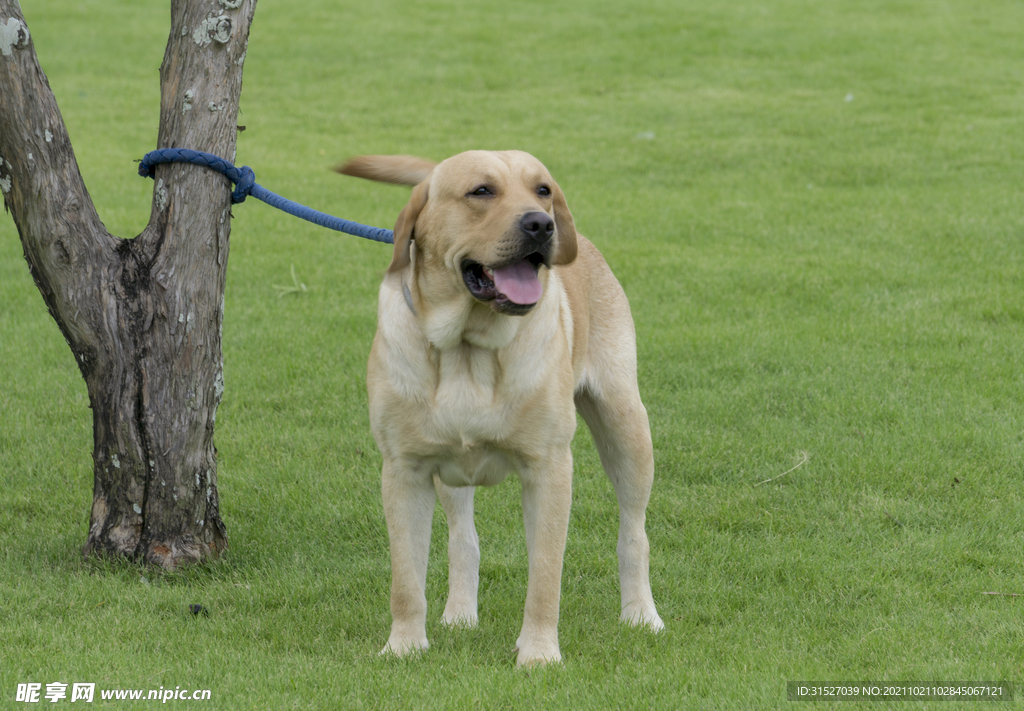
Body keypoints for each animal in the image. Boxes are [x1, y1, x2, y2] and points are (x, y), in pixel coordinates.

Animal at [339, 150, 663, 667]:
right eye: (481, 191)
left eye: (543, 189)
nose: (541, 224)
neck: (467, 349)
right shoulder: (404, 470)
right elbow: (405, 579)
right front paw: (404, 647)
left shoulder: (549, 468)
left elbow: (545, 577)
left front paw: (539, 653)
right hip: (448, 470)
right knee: (462, 539)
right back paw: (459, 614)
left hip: (625, 424)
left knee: (634, 531)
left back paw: (641, 615)